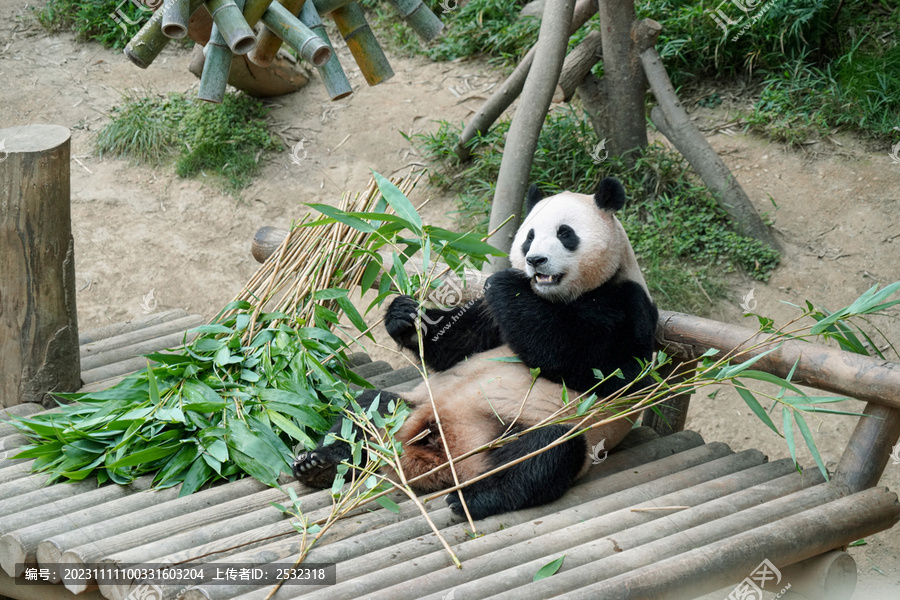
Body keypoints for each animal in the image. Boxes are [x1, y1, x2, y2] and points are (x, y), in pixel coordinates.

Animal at [294, 176, 652, 516]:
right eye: (529, 236)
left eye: (565, 233)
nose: (535, 260)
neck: (553, 297)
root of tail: (428, 459)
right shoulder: (491, 318)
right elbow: (460, 346)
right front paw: (405, 316)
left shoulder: (626, 304)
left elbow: (597, 365)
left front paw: (507, 282)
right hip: (407, 408)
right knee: (368, 408)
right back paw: (321, 463)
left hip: (526, 429)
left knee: (543, 455)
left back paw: (471, 498)